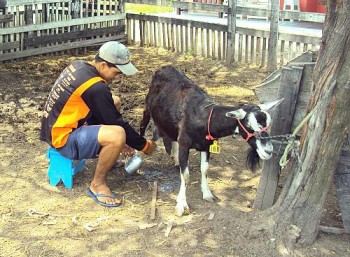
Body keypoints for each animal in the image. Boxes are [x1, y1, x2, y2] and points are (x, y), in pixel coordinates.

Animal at [139, 65, 282, 215]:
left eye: (268, 124)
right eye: (249, 125)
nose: (268, 151)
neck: (204, 116)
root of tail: (164, 67)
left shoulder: (206, 145)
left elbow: (204, 169)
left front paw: (207, 194)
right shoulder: (184, 144)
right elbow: (186, 175)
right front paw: (181, 205)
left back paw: (176, 159)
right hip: (146, 109)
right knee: (142, 130)